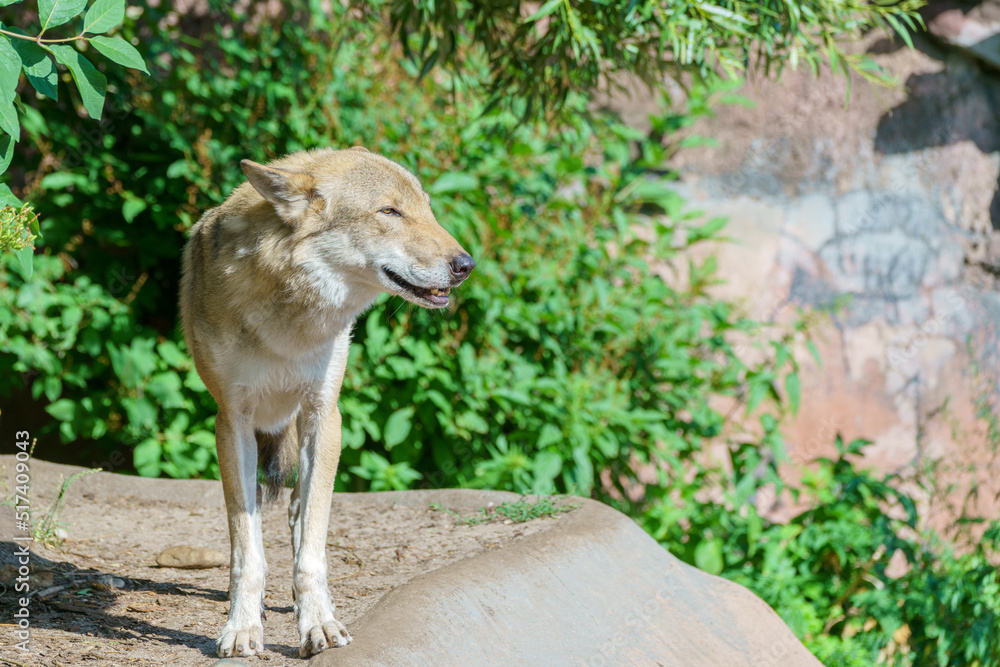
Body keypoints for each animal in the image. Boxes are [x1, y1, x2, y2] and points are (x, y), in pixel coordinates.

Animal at [179, 146, 475, 658]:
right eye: (389, 212)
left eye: (426, 209)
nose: (465, 264)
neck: (289, 324)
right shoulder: (232, 420)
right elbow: (246, 549)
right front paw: (242, 627)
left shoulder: (324, 414)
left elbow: (312, 549)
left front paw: (317, 623)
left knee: (300, 512)